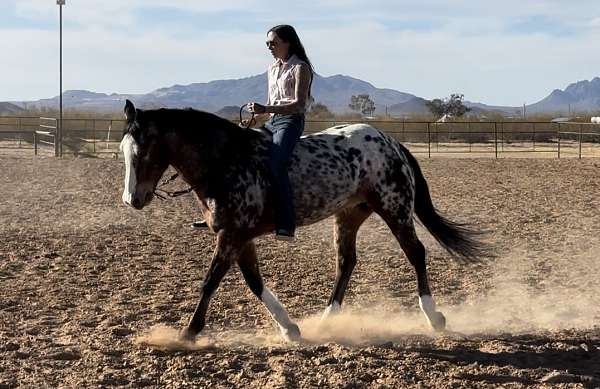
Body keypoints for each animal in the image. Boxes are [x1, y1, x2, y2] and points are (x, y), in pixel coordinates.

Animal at [118, 99, 488, 340]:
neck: (225, 161)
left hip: (394, 208)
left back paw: (434, 317)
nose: (132, 200)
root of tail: (391, 142)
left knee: (416, 253)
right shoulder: (239, 237)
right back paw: (326, 320)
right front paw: (290, 329)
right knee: (346, 262)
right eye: (123, 150)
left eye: (145, 149)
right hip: (349, 214)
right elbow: (253, 282)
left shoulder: (232, 235)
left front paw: (188, 333)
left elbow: (210, 282)